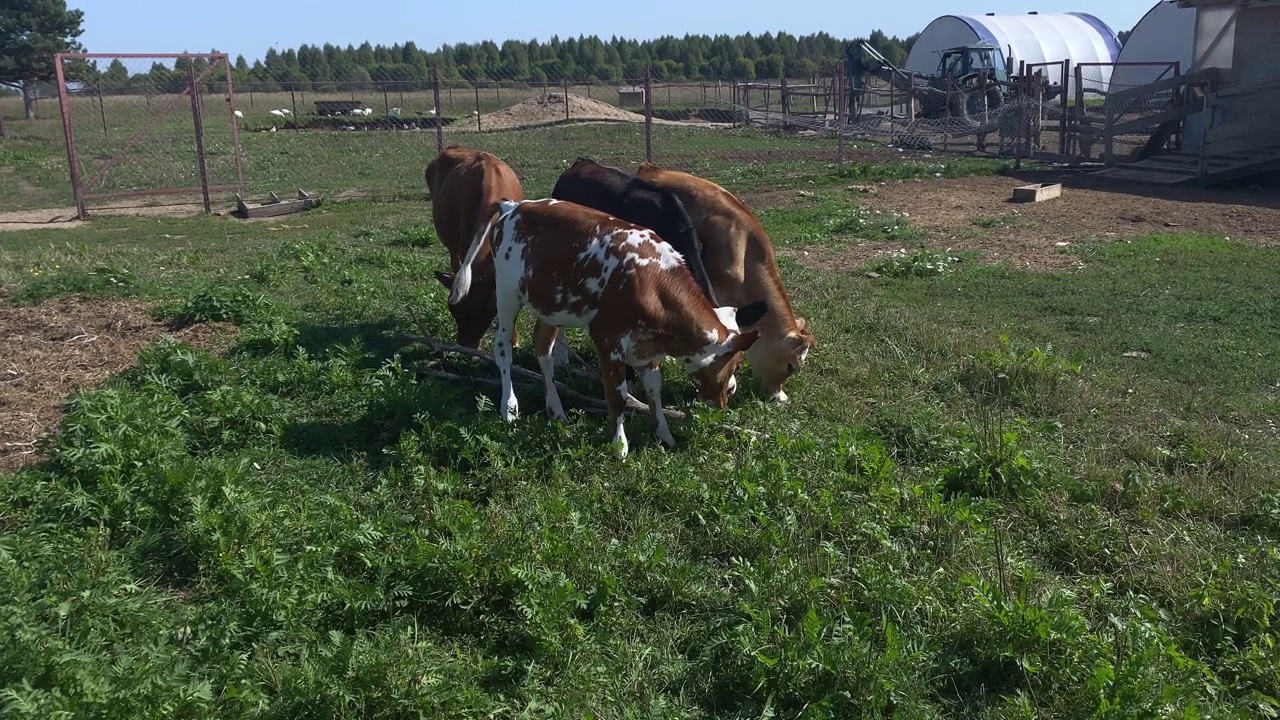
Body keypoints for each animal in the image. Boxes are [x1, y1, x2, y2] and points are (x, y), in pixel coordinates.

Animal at [450, 197, 768, 453]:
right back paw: (509, 407)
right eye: (737, 362)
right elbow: (617, 397)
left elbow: (654, 393)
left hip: (551, 307)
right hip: (507, 294)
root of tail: (514, 205)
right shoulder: (608, 339)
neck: (652, 280)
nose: (729, 394)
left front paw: (665, 436)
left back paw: (556, 410)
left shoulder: (647, 346)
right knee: (503, 348)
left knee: (544, 350)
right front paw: (620, 446)